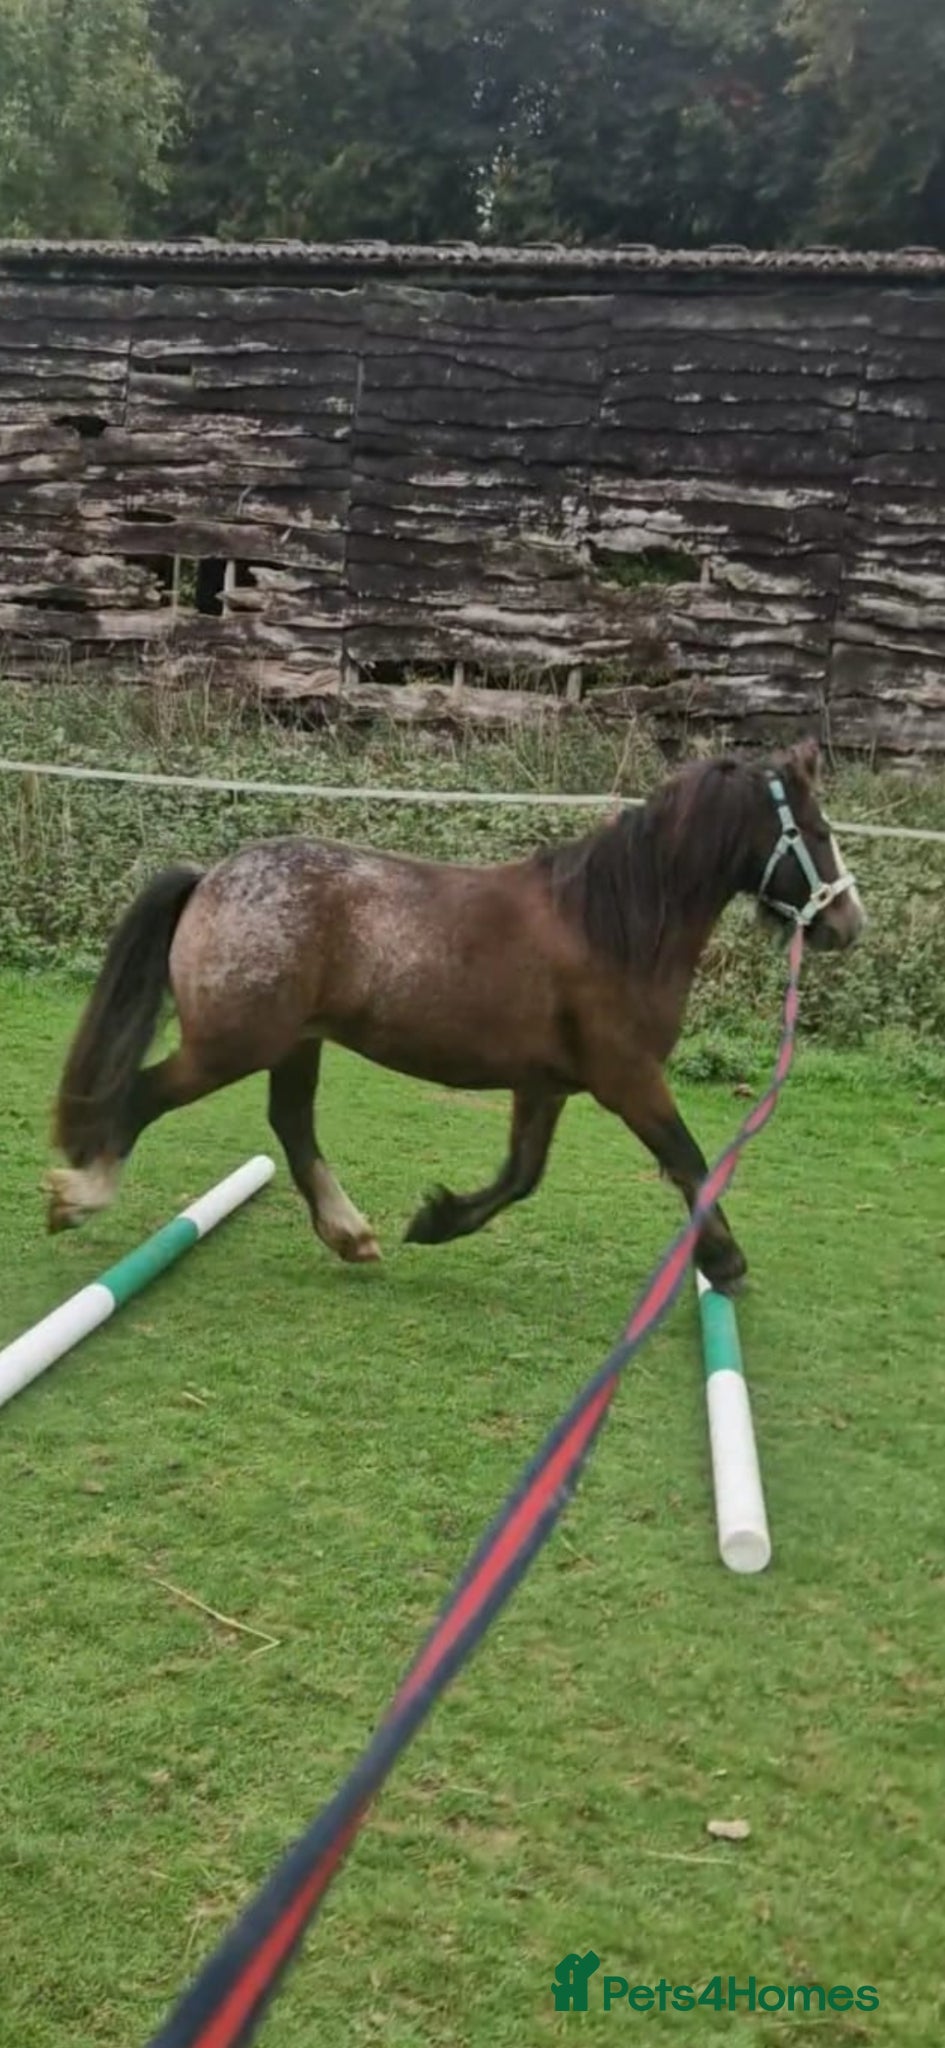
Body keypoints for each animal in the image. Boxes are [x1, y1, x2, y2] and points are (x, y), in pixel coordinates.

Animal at [46, 738, 864, 1292]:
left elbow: (520, 1176)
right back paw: (81, 1195)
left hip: (294, 1042)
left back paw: (350, 1235)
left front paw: (437, 1220)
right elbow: (689, 1160)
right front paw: (725, 1261)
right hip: (232, 1044)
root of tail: (211, 877)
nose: (847, 924)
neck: (611, 928)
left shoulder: (546, 1085)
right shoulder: (627, 1079)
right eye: (819, 834)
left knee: (292, 1123)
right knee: (141, 1094)